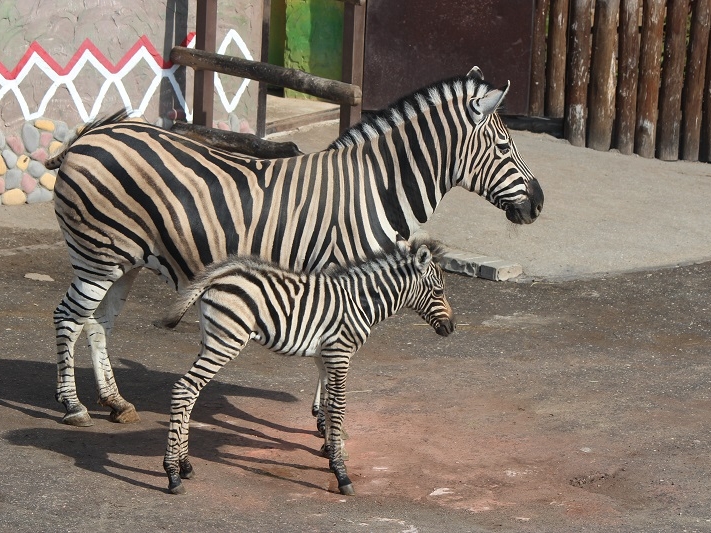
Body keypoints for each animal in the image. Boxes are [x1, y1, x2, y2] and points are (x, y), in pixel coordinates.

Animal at [160, 237, 456, 494]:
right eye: (439, 291)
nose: (452, 328)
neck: (360, 302)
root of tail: (218, 274)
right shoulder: (340, 353)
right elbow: (338, 406)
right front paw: (341, 472)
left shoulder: (324, 356)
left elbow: (326, 404)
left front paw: (330, 451)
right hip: (226, 342)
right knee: (184, 389)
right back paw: (173, 475)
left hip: (210, 341)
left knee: (192, 393)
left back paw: (186, 465)